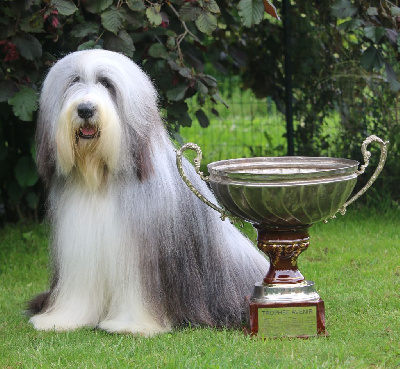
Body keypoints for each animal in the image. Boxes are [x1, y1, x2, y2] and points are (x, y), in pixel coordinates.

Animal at [28, 49, 268, 334]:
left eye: (107, 83)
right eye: (74, 81)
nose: (85, 109)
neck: (101, 177)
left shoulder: (138, 257)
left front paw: (130, 325)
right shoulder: (79, 247)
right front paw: (61, 320)